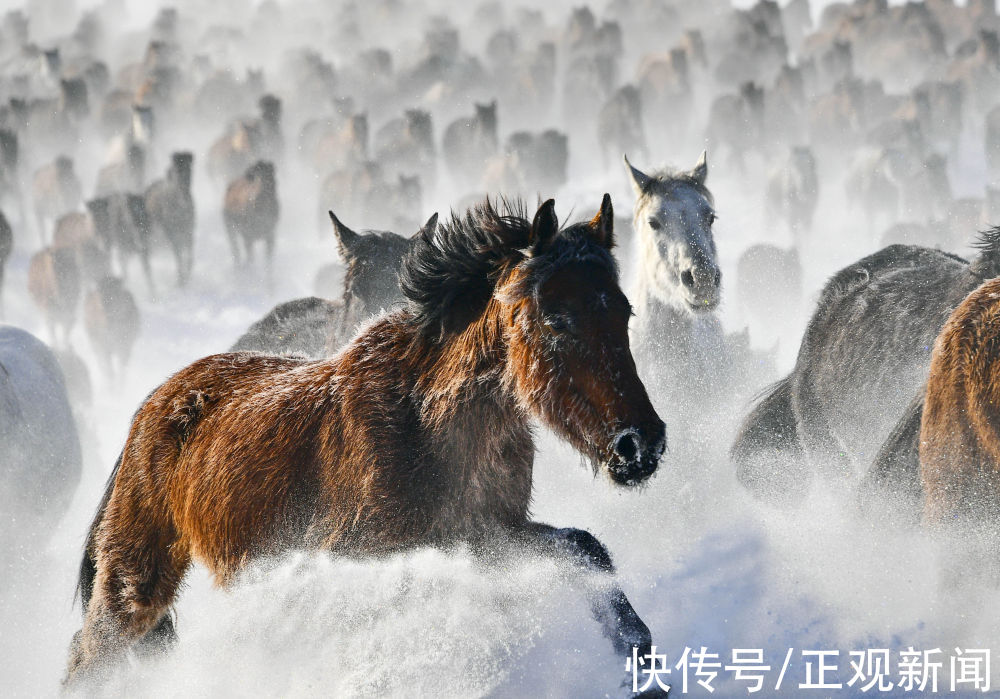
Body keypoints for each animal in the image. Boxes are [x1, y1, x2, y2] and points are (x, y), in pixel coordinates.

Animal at [66, 197, 668, 696]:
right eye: (556, 319)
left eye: (624, 311)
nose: (640, 445)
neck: (424, 422)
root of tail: (153, 407)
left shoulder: (485, 537)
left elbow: (586, 549)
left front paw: (641, 664)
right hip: (134, 583)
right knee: (87, 660)